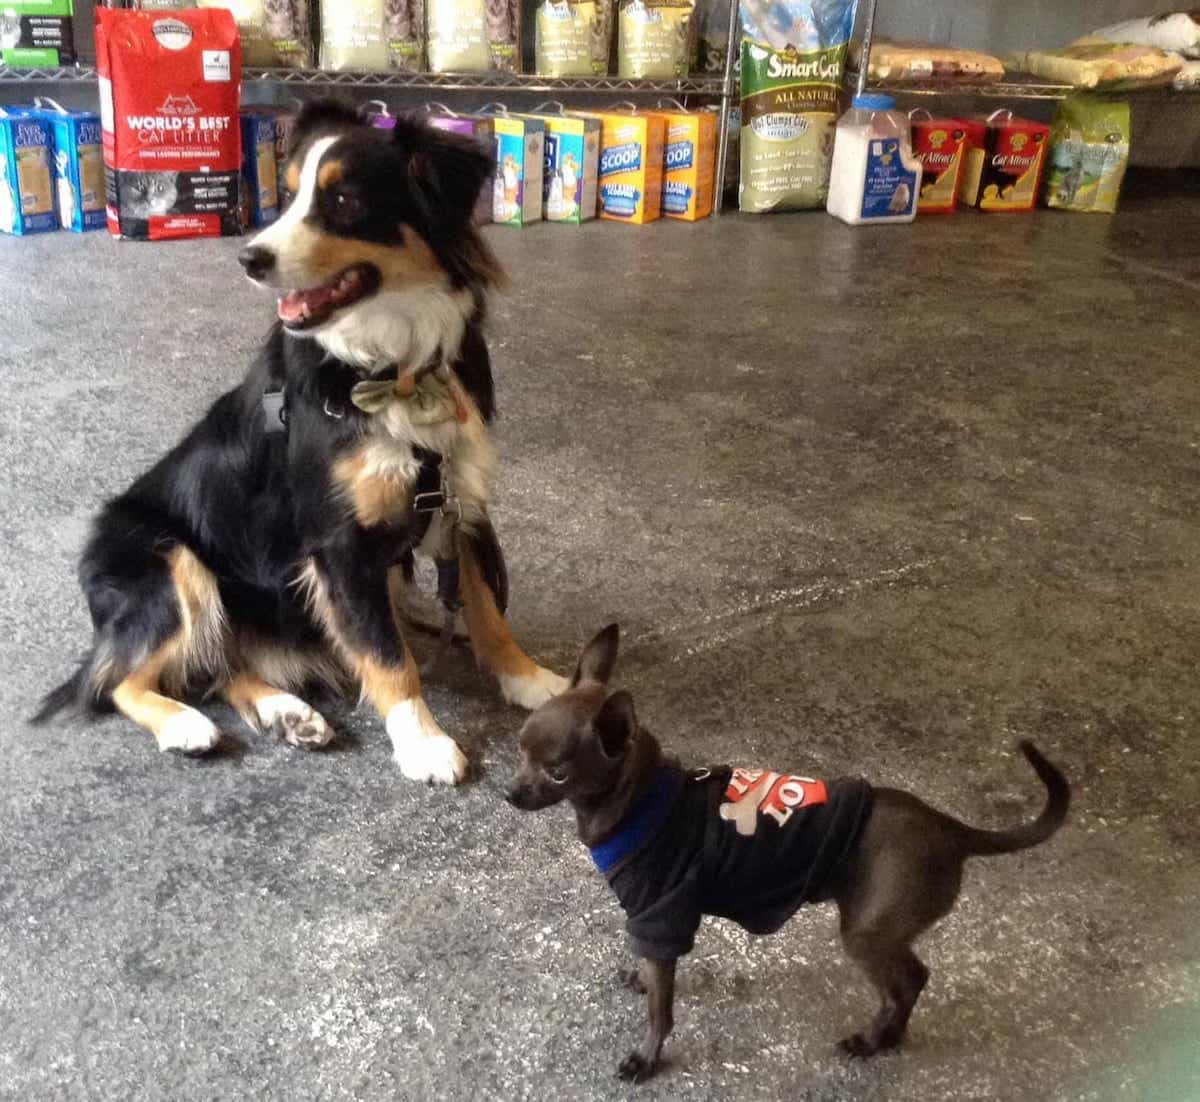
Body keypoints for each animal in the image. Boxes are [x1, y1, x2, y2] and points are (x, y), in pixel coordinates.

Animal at [32, 99, 566, 782]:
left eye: (342, 199)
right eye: (286, 198)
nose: (248, 258)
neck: (394, 368)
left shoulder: (459, 496)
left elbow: (485, 608)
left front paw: (530, 679)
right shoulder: (338, 540)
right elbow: (389, 656)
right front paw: (423, 742)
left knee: (219, 665)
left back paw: (287, 712)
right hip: (171, 561)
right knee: (124, 680)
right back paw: (186, 726)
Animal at [504, 624, 1070, 1085]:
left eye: (558, 772)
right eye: (519, 749)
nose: (510, 794)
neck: (641, 800)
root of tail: (951, 829)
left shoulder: (663, 915)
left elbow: (661, 1013)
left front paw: (646, 1058)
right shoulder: (652, 923)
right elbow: (650, 972)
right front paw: (638, 977)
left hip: (867, 933)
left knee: (906, 984)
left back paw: (874, 1040)